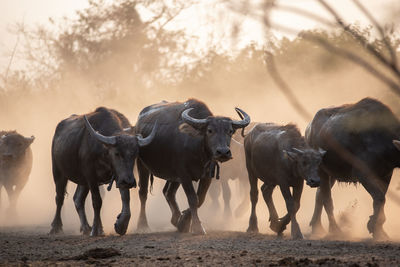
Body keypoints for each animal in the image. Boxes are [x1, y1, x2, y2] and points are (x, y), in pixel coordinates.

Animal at [49, 107, 157, 237]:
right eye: (117, 153)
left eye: (135, 154)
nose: (129, 182)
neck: (103, 153)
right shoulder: (91, 177)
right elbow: (97, 201)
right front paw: (95, 230)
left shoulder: (120, 176)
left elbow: (126, 199)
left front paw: (121, 225)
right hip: (58, 172)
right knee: (59, 198)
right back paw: (56, 227)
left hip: (83, 181)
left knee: (78, 199)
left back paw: (86, 227)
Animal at [134, 99, 250, 236]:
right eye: (209, 130)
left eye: (230, 131)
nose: (223, 152)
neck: (197, 150)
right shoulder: (184, 176)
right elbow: (193, 198)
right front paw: (197, 227)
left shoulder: (207, 176)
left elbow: (201, 199)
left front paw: (183, 221)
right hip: (142, 165)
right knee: (143, 193)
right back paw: (142, 225)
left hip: (173, 176)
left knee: (168, 192)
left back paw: (176, 219)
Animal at [306, 98, 400, 241]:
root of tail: (309, 128)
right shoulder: (362, 173)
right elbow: (379, 198)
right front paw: (374, 227)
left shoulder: (385, 174)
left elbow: (380, 199)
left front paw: (379, 229)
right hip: (321, 171)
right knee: (327, 199)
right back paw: (335, 231)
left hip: (331, 174)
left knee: (319, 195)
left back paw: (317, 228)